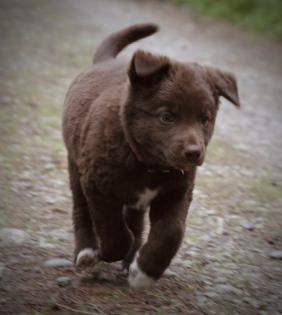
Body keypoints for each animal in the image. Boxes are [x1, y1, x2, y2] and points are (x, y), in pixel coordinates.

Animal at [62, 23, 239, 290]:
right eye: (166, 117)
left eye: (205, 119)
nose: (194, 152)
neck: (149, 166)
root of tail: (104, 61)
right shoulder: (97, 186)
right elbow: (114, 232)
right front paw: (111, 253)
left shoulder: (177, 192)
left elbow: (171, 233)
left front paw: (144, 271)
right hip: (76, 168)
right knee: (81, 211)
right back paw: (87, 252)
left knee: (135, 222)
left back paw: (129, 262)